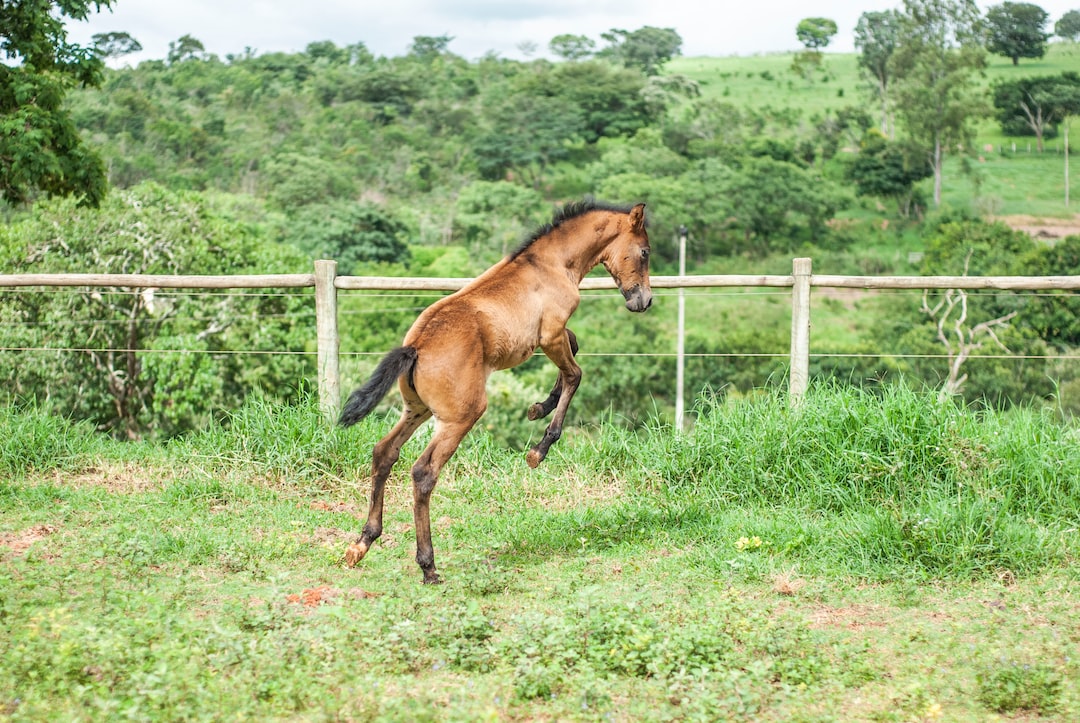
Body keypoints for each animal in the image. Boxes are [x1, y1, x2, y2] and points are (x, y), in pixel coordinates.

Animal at [338, 200, 651, 584]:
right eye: (645, 251)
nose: (644, 301)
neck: (550, 263)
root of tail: (415, 348)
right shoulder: (550, 334)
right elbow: (575, 374)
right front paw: (540, 447)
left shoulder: (550, 336)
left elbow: (574, 352)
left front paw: (537, 407)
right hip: (462, 416)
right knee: (423, 472)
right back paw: (428, 566)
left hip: (416, 410)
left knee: (384, 453)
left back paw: (361, 543)